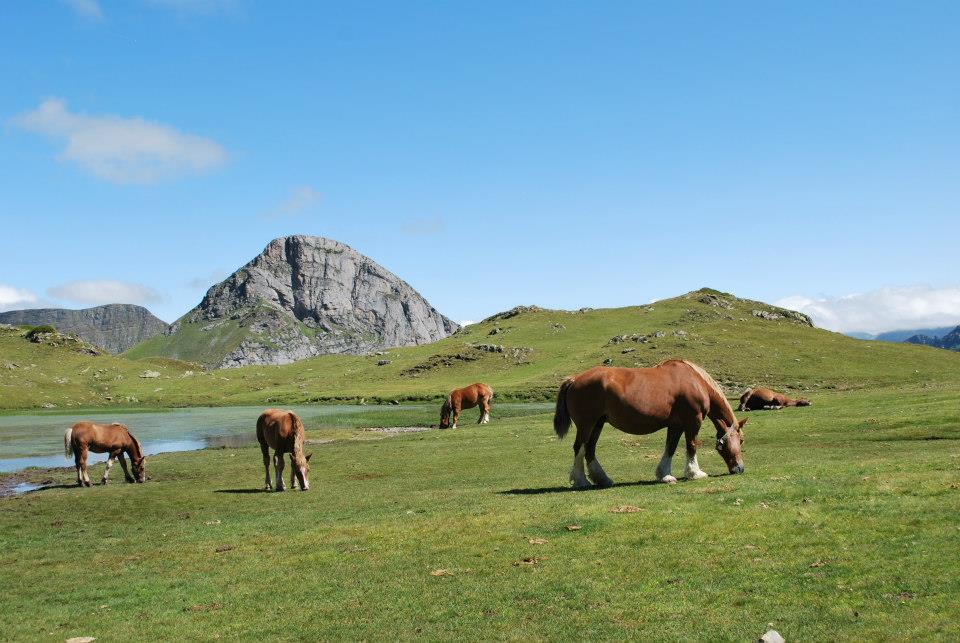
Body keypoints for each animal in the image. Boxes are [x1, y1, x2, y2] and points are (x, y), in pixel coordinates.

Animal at [552, 360, 748, 490]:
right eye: (741, 440)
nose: (740, 468)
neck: (696, 381)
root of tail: (574, 379)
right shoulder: (693, 421)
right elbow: (691, 446)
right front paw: (695, 473)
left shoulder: (676, 425)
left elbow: (670, 448)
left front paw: (665, 475)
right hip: (586, 424)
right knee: (579, 448)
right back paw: (581, 481)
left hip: (597, 424)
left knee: (589, 449)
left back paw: (602, 479)